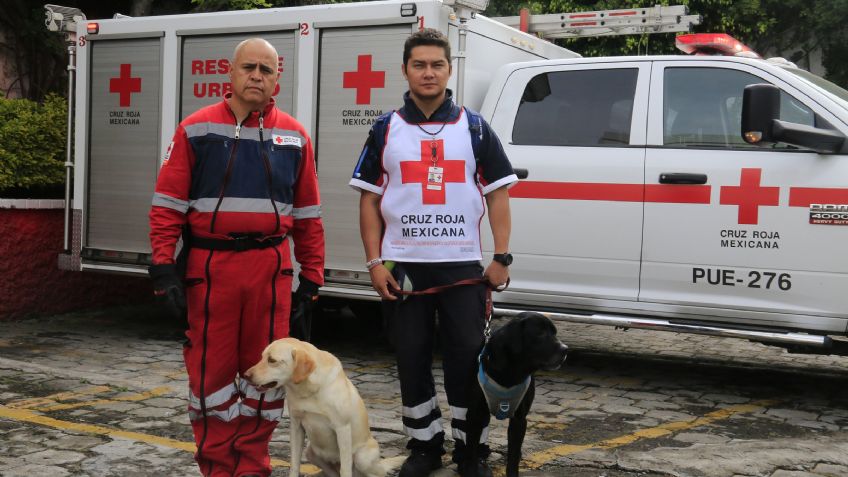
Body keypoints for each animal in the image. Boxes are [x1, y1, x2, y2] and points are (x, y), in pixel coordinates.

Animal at [243, 336, 386, 476]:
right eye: (261, 357)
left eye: (272, 360)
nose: (245, 375)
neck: (308, 390)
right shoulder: (296, 426)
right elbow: (294, 463)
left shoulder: (342, 428)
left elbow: (345, 469)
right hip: (310, 451)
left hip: (362, 458)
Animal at [460, 310, 568, 474]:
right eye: (540, 332)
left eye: (555, 332)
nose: (565, 349)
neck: (509, 374)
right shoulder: (475, 416)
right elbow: (471, 453)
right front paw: (471, 471)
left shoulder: (519, 419)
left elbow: (513, 456)